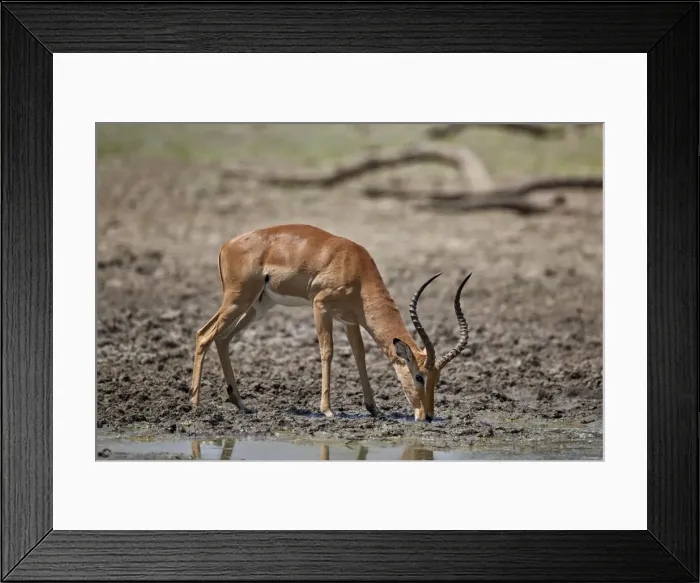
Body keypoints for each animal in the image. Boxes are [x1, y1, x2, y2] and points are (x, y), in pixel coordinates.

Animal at [190, 224, 471, 422]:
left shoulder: (350, 320)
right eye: (419, 376)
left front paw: (374, 408)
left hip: (257, 306)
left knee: (222, 338)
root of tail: (227, 245)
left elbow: (360, 356)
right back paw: (194, 404)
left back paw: (241, 404)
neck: (356, 268)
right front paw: (327, 410)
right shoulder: (321, 306)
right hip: (238, 300)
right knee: (204, 334)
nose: (428, 416)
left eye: (437, 378)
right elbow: (327, 352)